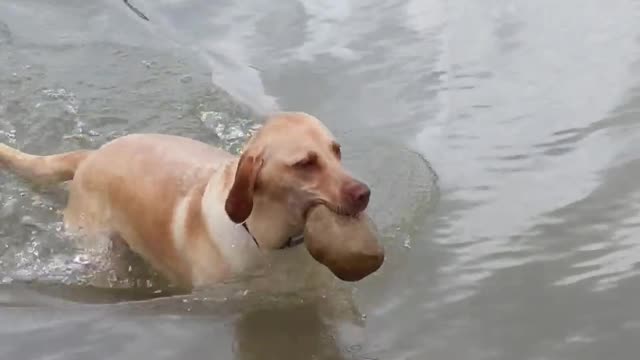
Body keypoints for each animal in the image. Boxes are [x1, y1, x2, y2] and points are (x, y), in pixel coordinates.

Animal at [0, 112, 370, 286]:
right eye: (305, 164)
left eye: (336, 151)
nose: (365, 193)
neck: (270, 240)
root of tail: (90, 156)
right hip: (99, 247)